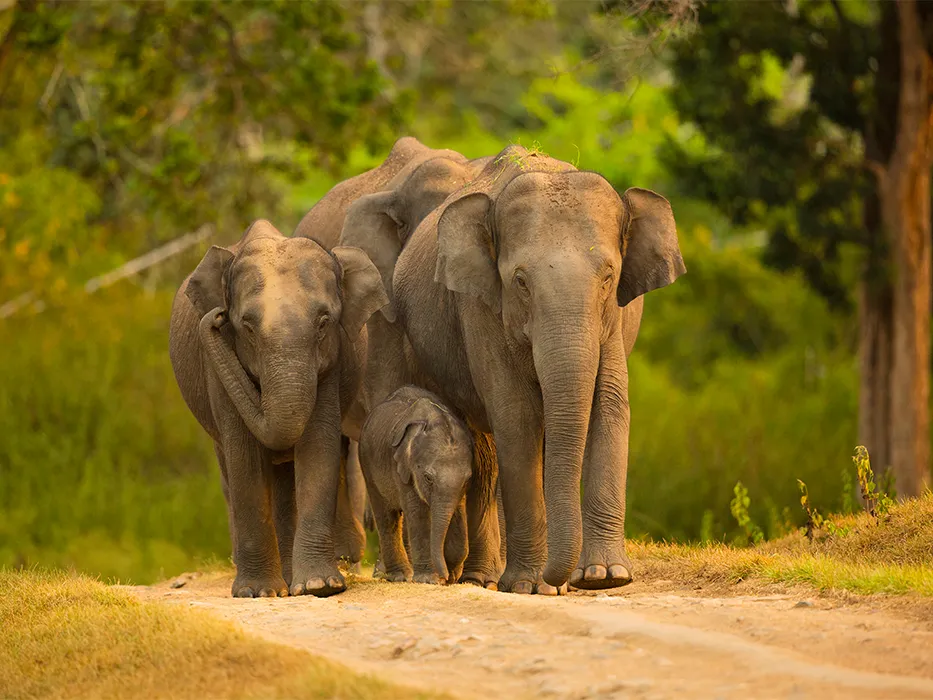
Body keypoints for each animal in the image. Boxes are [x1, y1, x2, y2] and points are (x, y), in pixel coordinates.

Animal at [167, 220, 386, 596]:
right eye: (246, 326)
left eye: (324, 322)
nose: (216, 316)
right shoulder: (217, 366)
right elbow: (244, 457)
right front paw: (258, 592)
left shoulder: (332, 362)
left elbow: (318, 447)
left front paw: (319, 586)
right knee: (230, 469)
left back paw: (289, 577)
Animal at [358, 388, 474, 584]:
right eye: (428, 478)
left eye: (467, 479)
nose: (445, 577)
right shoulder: (402, 468)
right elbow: (418, 513)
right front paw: (429, 580)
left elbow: (458, 513)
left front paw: (451, 575)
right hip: (367, 463)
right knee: (387, 517)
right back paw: (400, 576)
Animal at [386, 146, 684, 596]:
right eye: (520, 281)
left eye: (608, 277)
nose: (562, 580)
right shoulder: (481, 308)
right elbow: (517, 416)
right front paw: (529, 586)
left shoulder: (612, 321)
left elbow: (609, 407)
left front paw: (605, 577)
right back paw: (486, 579)